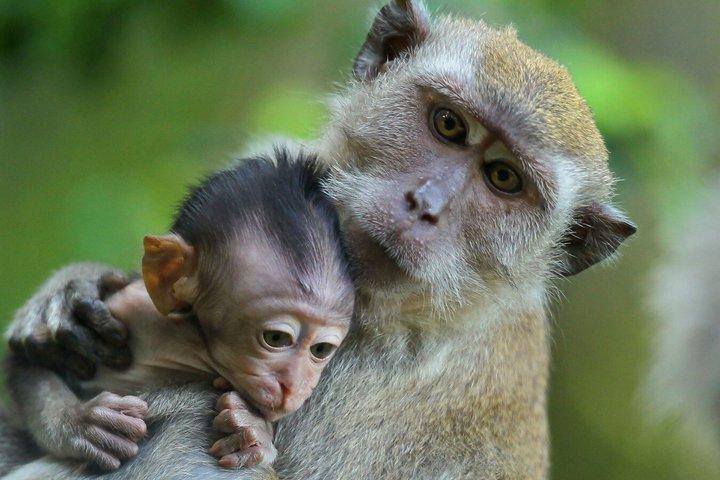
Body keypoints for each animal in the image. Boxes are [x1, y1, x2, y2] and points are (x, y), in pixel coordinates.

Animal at [3, 150, 354, 473]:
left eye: (321, 350)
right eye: (276, 338)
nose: (292, 385)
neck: (191, 342)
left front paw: (252, 432)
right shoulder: (129, 307)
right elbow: (30, 361)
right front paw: (79, 425)